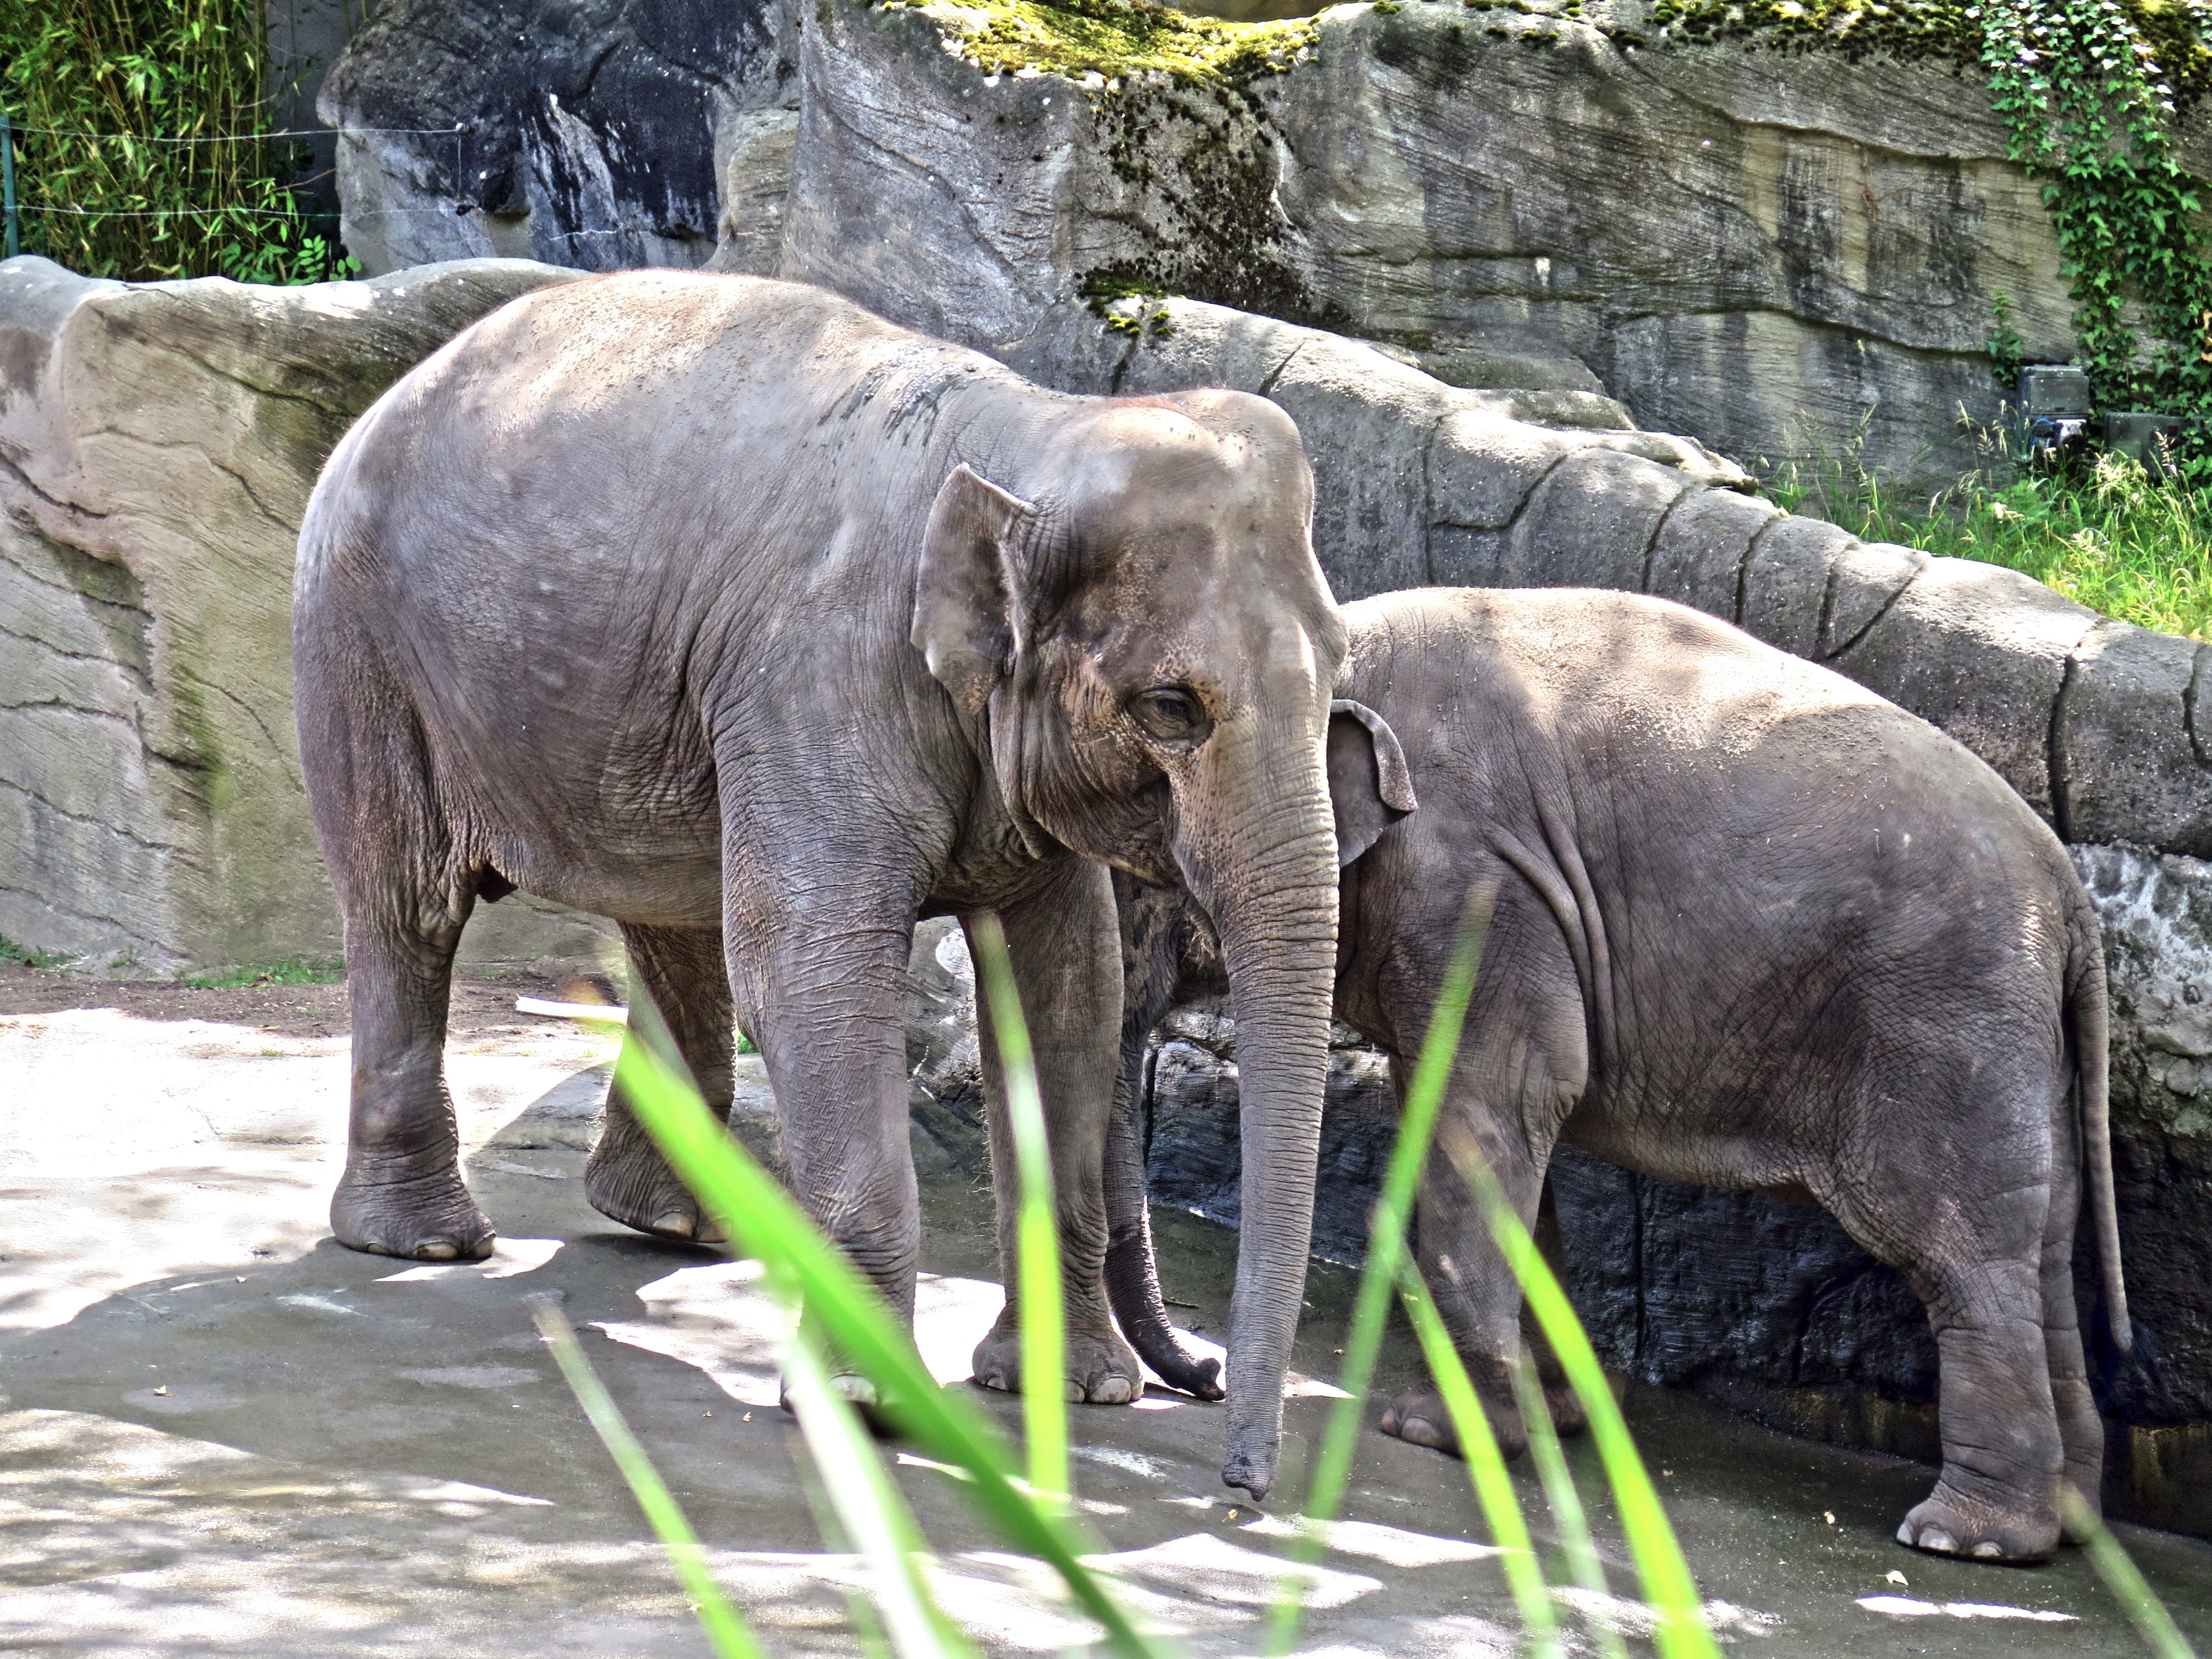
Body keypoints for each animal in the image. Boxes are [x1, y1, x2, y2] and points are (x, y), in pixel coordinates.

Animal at [293, 271, 1398, 1500]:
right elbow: (814, 961)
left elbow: (1067, 985)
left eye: (1338, 669)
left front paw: (1078, 1391)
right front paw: (868, 1406)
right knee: (409, 909)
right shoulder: (818, 675)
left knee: (676, 924)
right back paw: (428, 1241)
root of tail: (396, 390)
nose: (1241, 1479)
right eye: (1171, 706)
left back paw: (678, 1225)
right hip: (362, 643)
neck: (1035, 434)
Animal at [1100, 585, 2128, 1563]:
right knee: (2043, 1247)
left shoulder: (1474, 884)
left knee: (1959, 1254)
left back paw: (1965, 1537)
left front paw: (1445, 1436)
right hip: (2021, 1046)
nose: (1206, 1379)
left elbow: (1489, 1110)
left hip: (1947, 1024)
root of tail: (2069, 892)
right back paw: (2069, 1523)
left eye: (1132, 880)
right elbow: (1500, 1130)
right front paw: (1550, 1416)